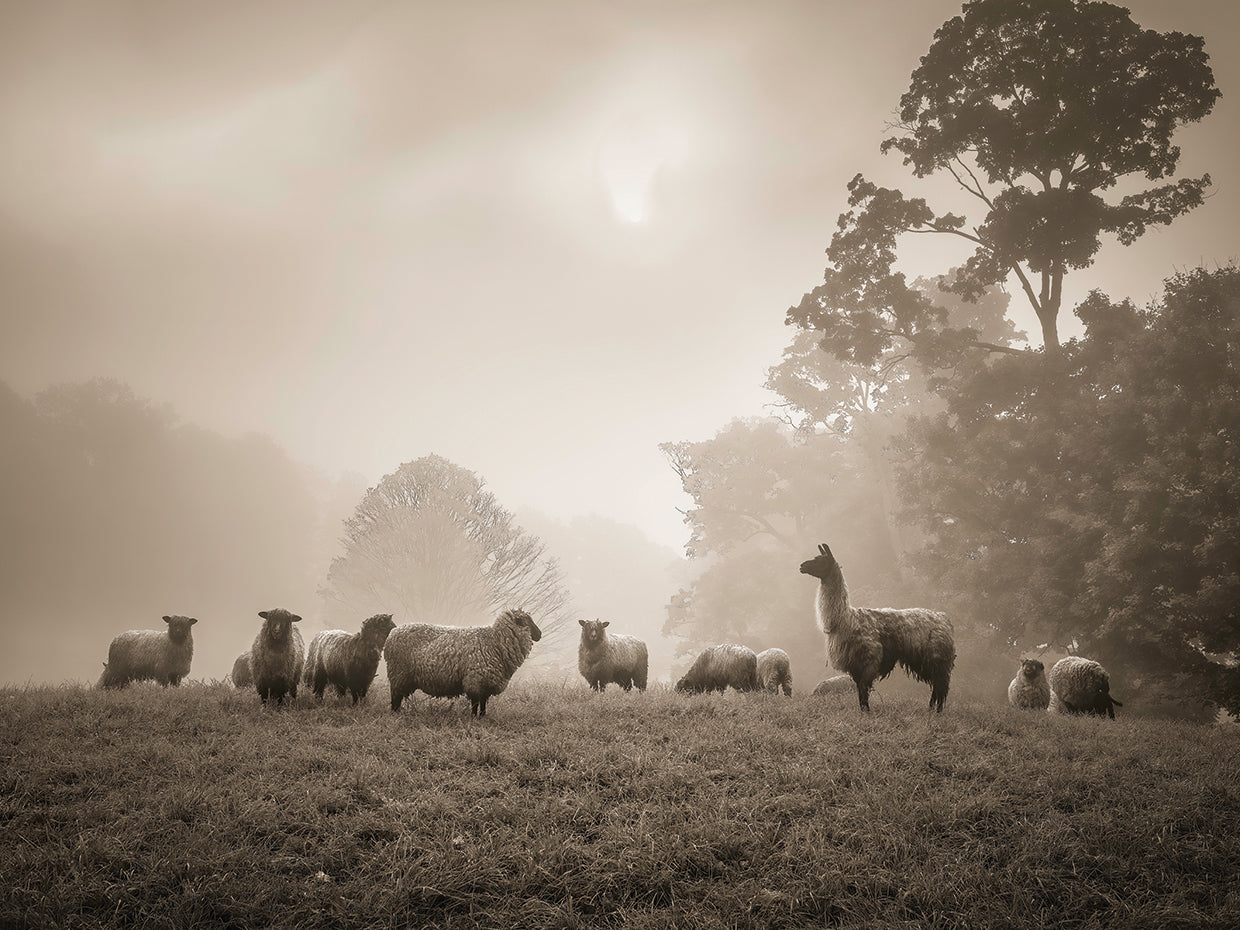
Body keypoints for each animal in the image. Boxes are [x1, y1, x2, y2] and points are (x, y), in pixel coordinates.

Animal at [384, 608, 542, 718]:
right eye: (527, 620)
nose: (540, 634)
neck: (495, 641)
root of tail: (393, 632)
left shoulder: (485, 683)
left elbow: (483, 703)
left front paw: (482, 717)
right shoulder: (475, 680)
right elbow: (475, 703)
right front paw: (473, 718)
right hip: (399, 673)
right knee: (395, 696)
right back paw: (395, 714)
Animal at [800, 542, 955, 713]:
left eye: (820, 559)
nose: (802, 566)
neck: (845, 619)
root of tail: (944, 618)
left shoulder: (870, 657)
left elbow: (863, 688)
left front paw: (867, 712)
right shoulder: (855, 664)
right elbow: (860, 690)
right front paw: (863, 711)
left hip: (937, 656)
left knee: (941, 684)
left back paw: (937, 711)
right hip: (926, 659)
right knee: (937, 685)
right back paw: (931, 709)